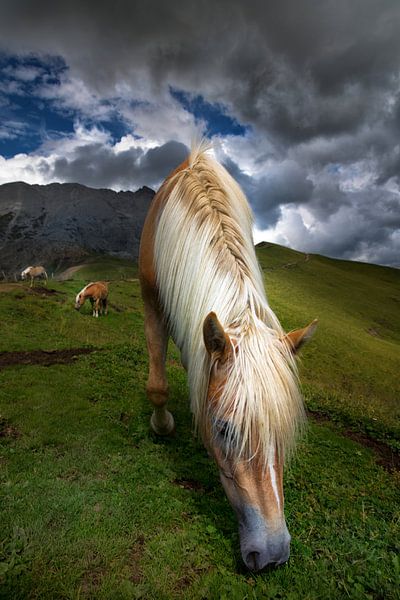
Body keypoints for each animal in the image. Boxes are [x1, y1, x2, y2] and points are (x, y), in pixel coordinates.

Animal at [139, 142, 318, 572]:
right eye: (224, 429)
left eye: (283, 432)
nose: (272, 554)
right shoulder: (152, 300)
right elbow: (158, 386)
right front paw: (163, 424)